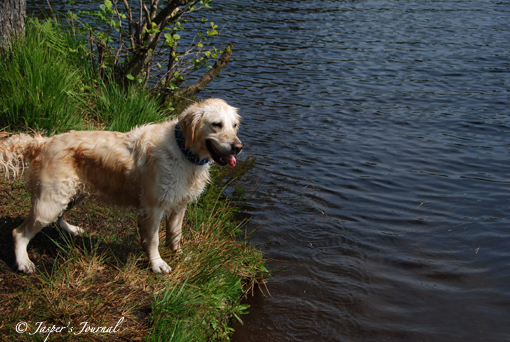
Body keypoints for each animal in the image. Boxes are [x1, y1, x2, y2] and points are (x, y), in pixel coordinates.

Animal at [0, 98, 243, 272]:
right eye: (216, 125)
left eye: (234, 126)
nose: (238, 147)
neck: (184, 151)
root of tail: (43, 142)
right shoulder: (153, 207)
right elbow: (153, 240)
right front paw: (157, 264)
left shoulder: (179, 205)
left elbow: (175, 234)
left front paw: (179, 254)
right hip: (50, 202)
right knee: (18, 233)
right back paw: (23, 262)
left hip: (71, 194)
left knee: (59, 217)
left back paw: (72, 229)